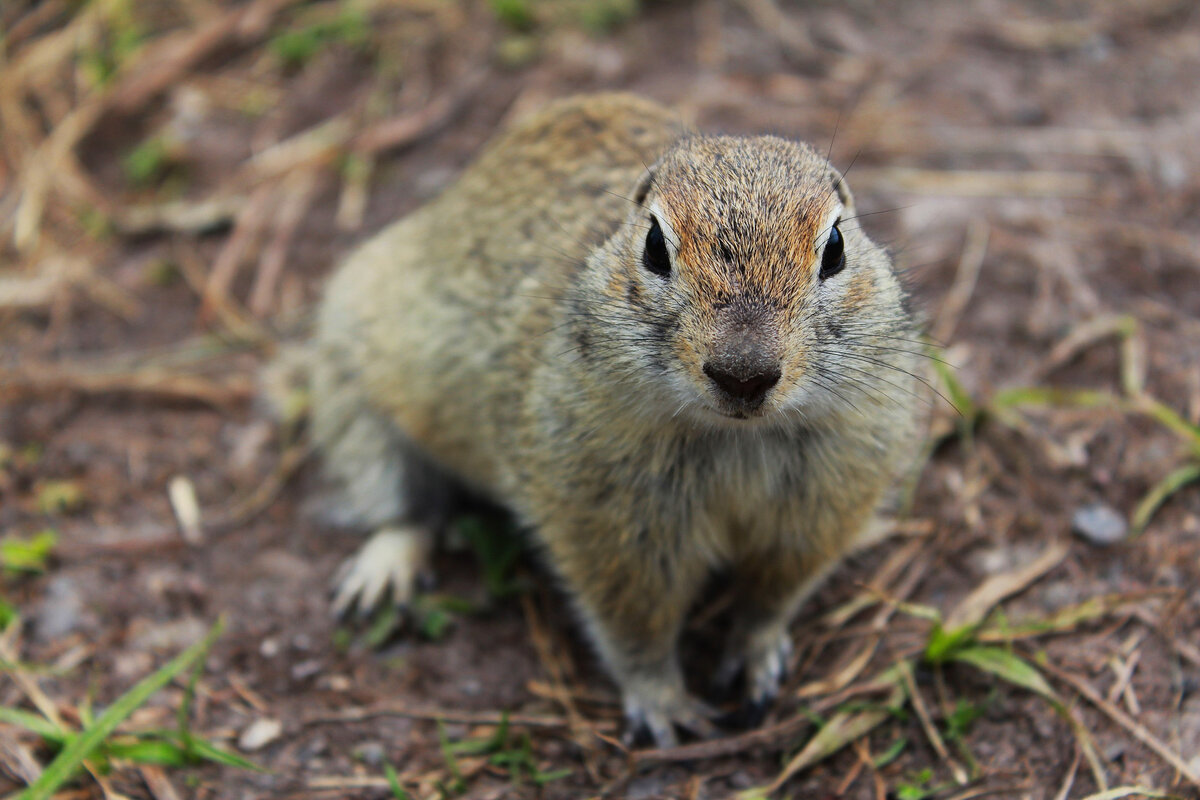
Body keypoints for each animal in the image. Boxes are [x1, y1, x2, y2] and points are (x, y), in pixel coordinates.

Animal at [304, 95, 921, 753]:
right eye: (653, 244)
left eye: (835, 247)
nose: (744, 374)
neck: (735, 439)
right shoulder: (606, 522)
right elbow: (634, 623)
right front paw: (666, 704)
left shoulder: (824, 499)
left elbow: (774, 593)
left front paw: (757, 657)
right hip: (353, 383)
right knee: (403, 505)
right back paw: (381, 573)